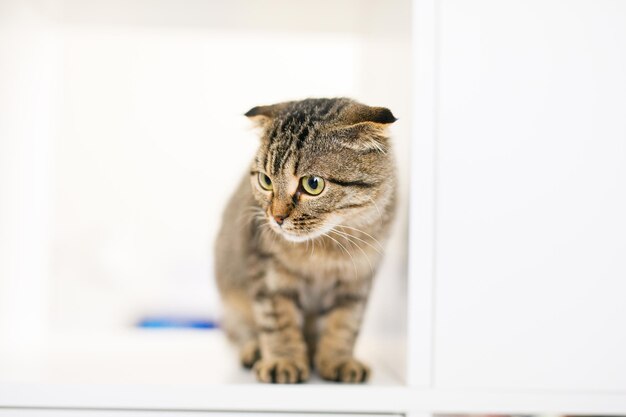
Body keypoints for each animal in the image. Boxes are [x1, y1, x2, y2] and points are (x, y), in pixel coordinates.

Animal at [216, 97, 394, 384]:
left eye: (313, 184)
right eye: (266, 181)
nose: (276, 217)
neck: (324, 247)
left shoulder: (358, 278)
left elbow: (345, 322)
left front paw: (338, 360)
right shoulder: (267, 271)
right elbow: (277, 321)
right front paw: (283, 360)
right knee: (238, 331)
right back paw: (255, 350)